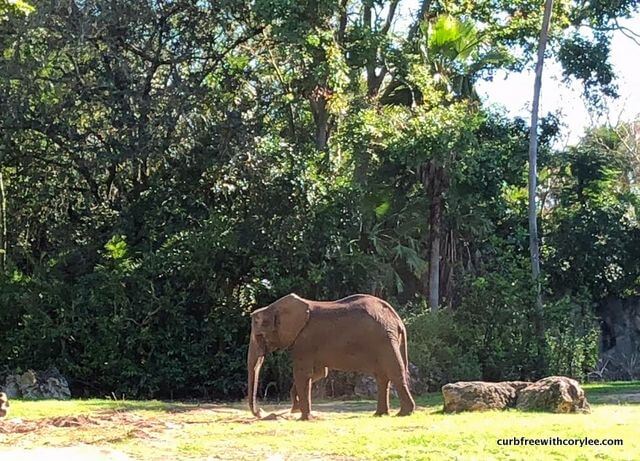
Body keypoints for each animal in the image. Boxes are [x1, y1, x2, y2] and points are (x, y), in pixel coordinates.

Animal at [247, 293, 415, 420]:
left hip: (384, 340)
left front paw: (304, 418)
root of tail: (398, 320)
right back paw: (379, 414)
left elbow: (303, 374)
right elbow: (319, 373)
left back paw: (403, 413)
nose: (261, 412)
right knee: (382, 376)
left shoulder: (305, 340)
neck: (274, 307)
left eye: (260, 336)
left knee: (393, 372)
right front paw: (296, 409)